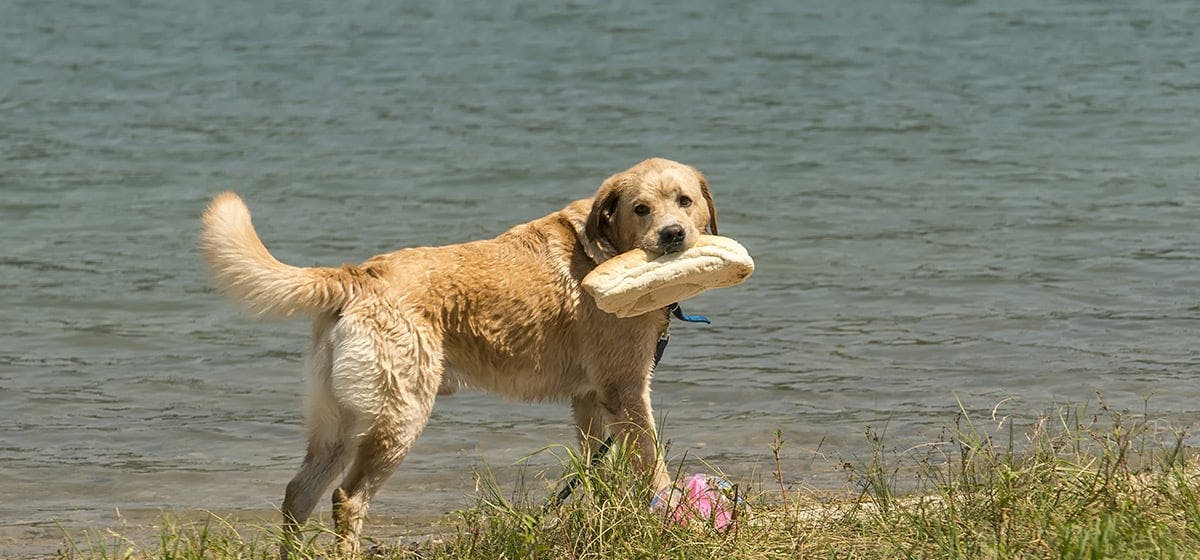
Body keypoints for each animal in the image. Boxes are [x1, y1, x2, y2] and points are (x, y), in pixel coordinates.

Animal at [201, 158, 715, 556]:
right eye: (641, 209)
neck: (604, 250)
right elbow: (652, 465)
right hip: (399, 417)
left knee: (298, 494)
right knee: (346, 498)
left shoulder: (590, 399)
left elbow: (599, 474)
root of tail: (358, 275)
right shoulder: (626, 390)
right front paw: (672, 515)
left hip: (339, 421)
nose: (672, 235)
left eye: (684, 201)